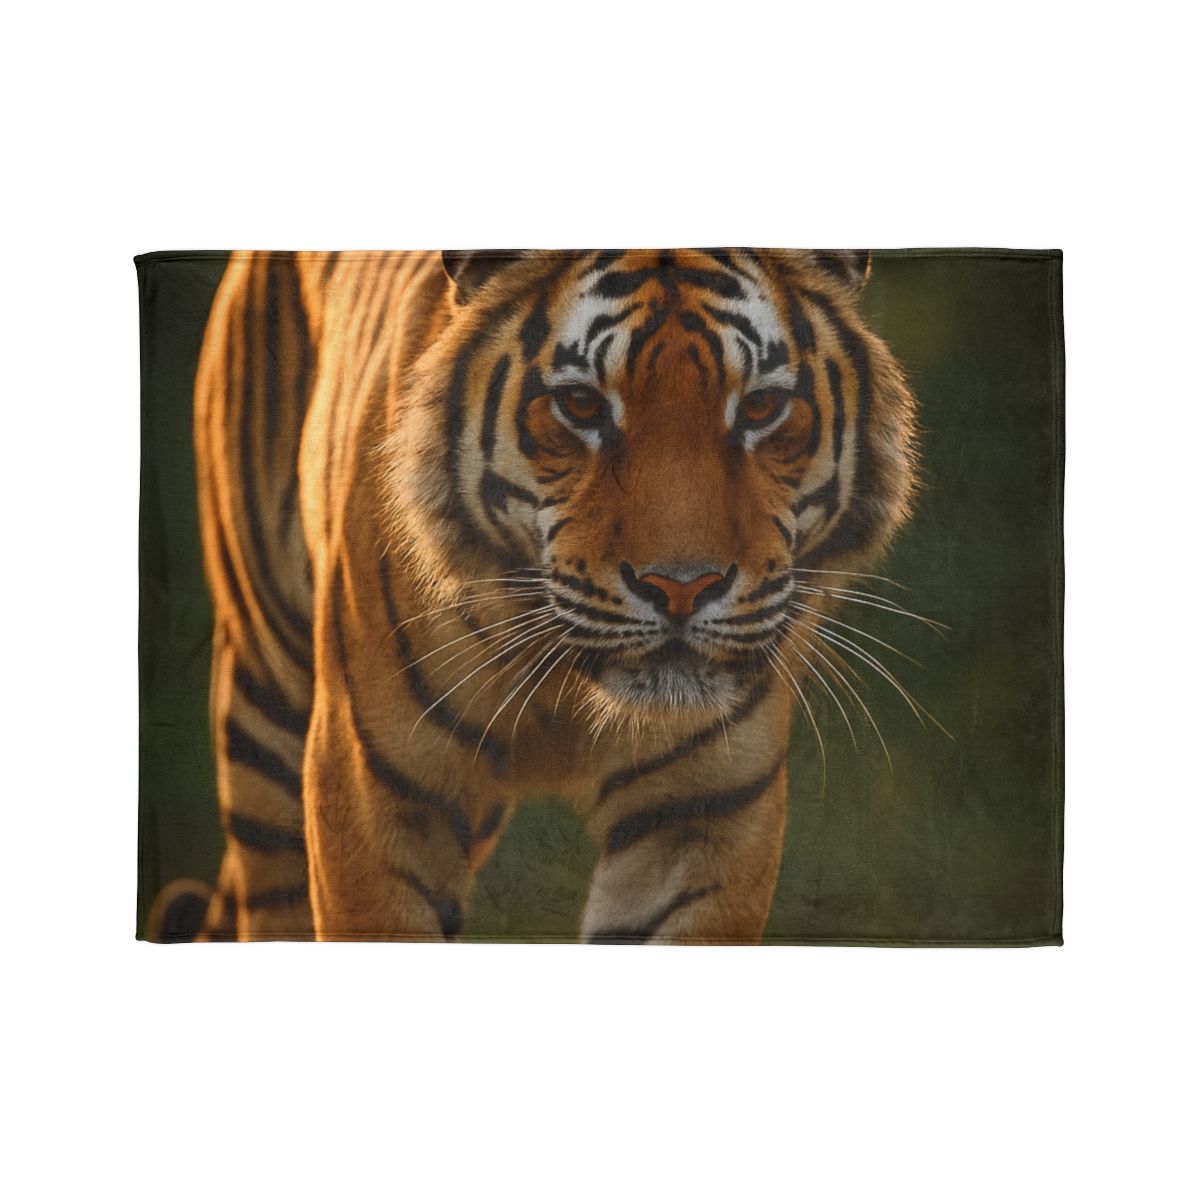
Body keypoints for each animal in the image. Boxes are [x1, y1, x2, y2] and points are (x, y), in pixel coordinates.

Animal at [149, 248, 918, 944]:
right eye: (580, 404)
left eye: (760, 406)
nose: (682, 588)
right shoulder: (373, 788)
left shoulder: (703, 808)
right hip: (267, 712)